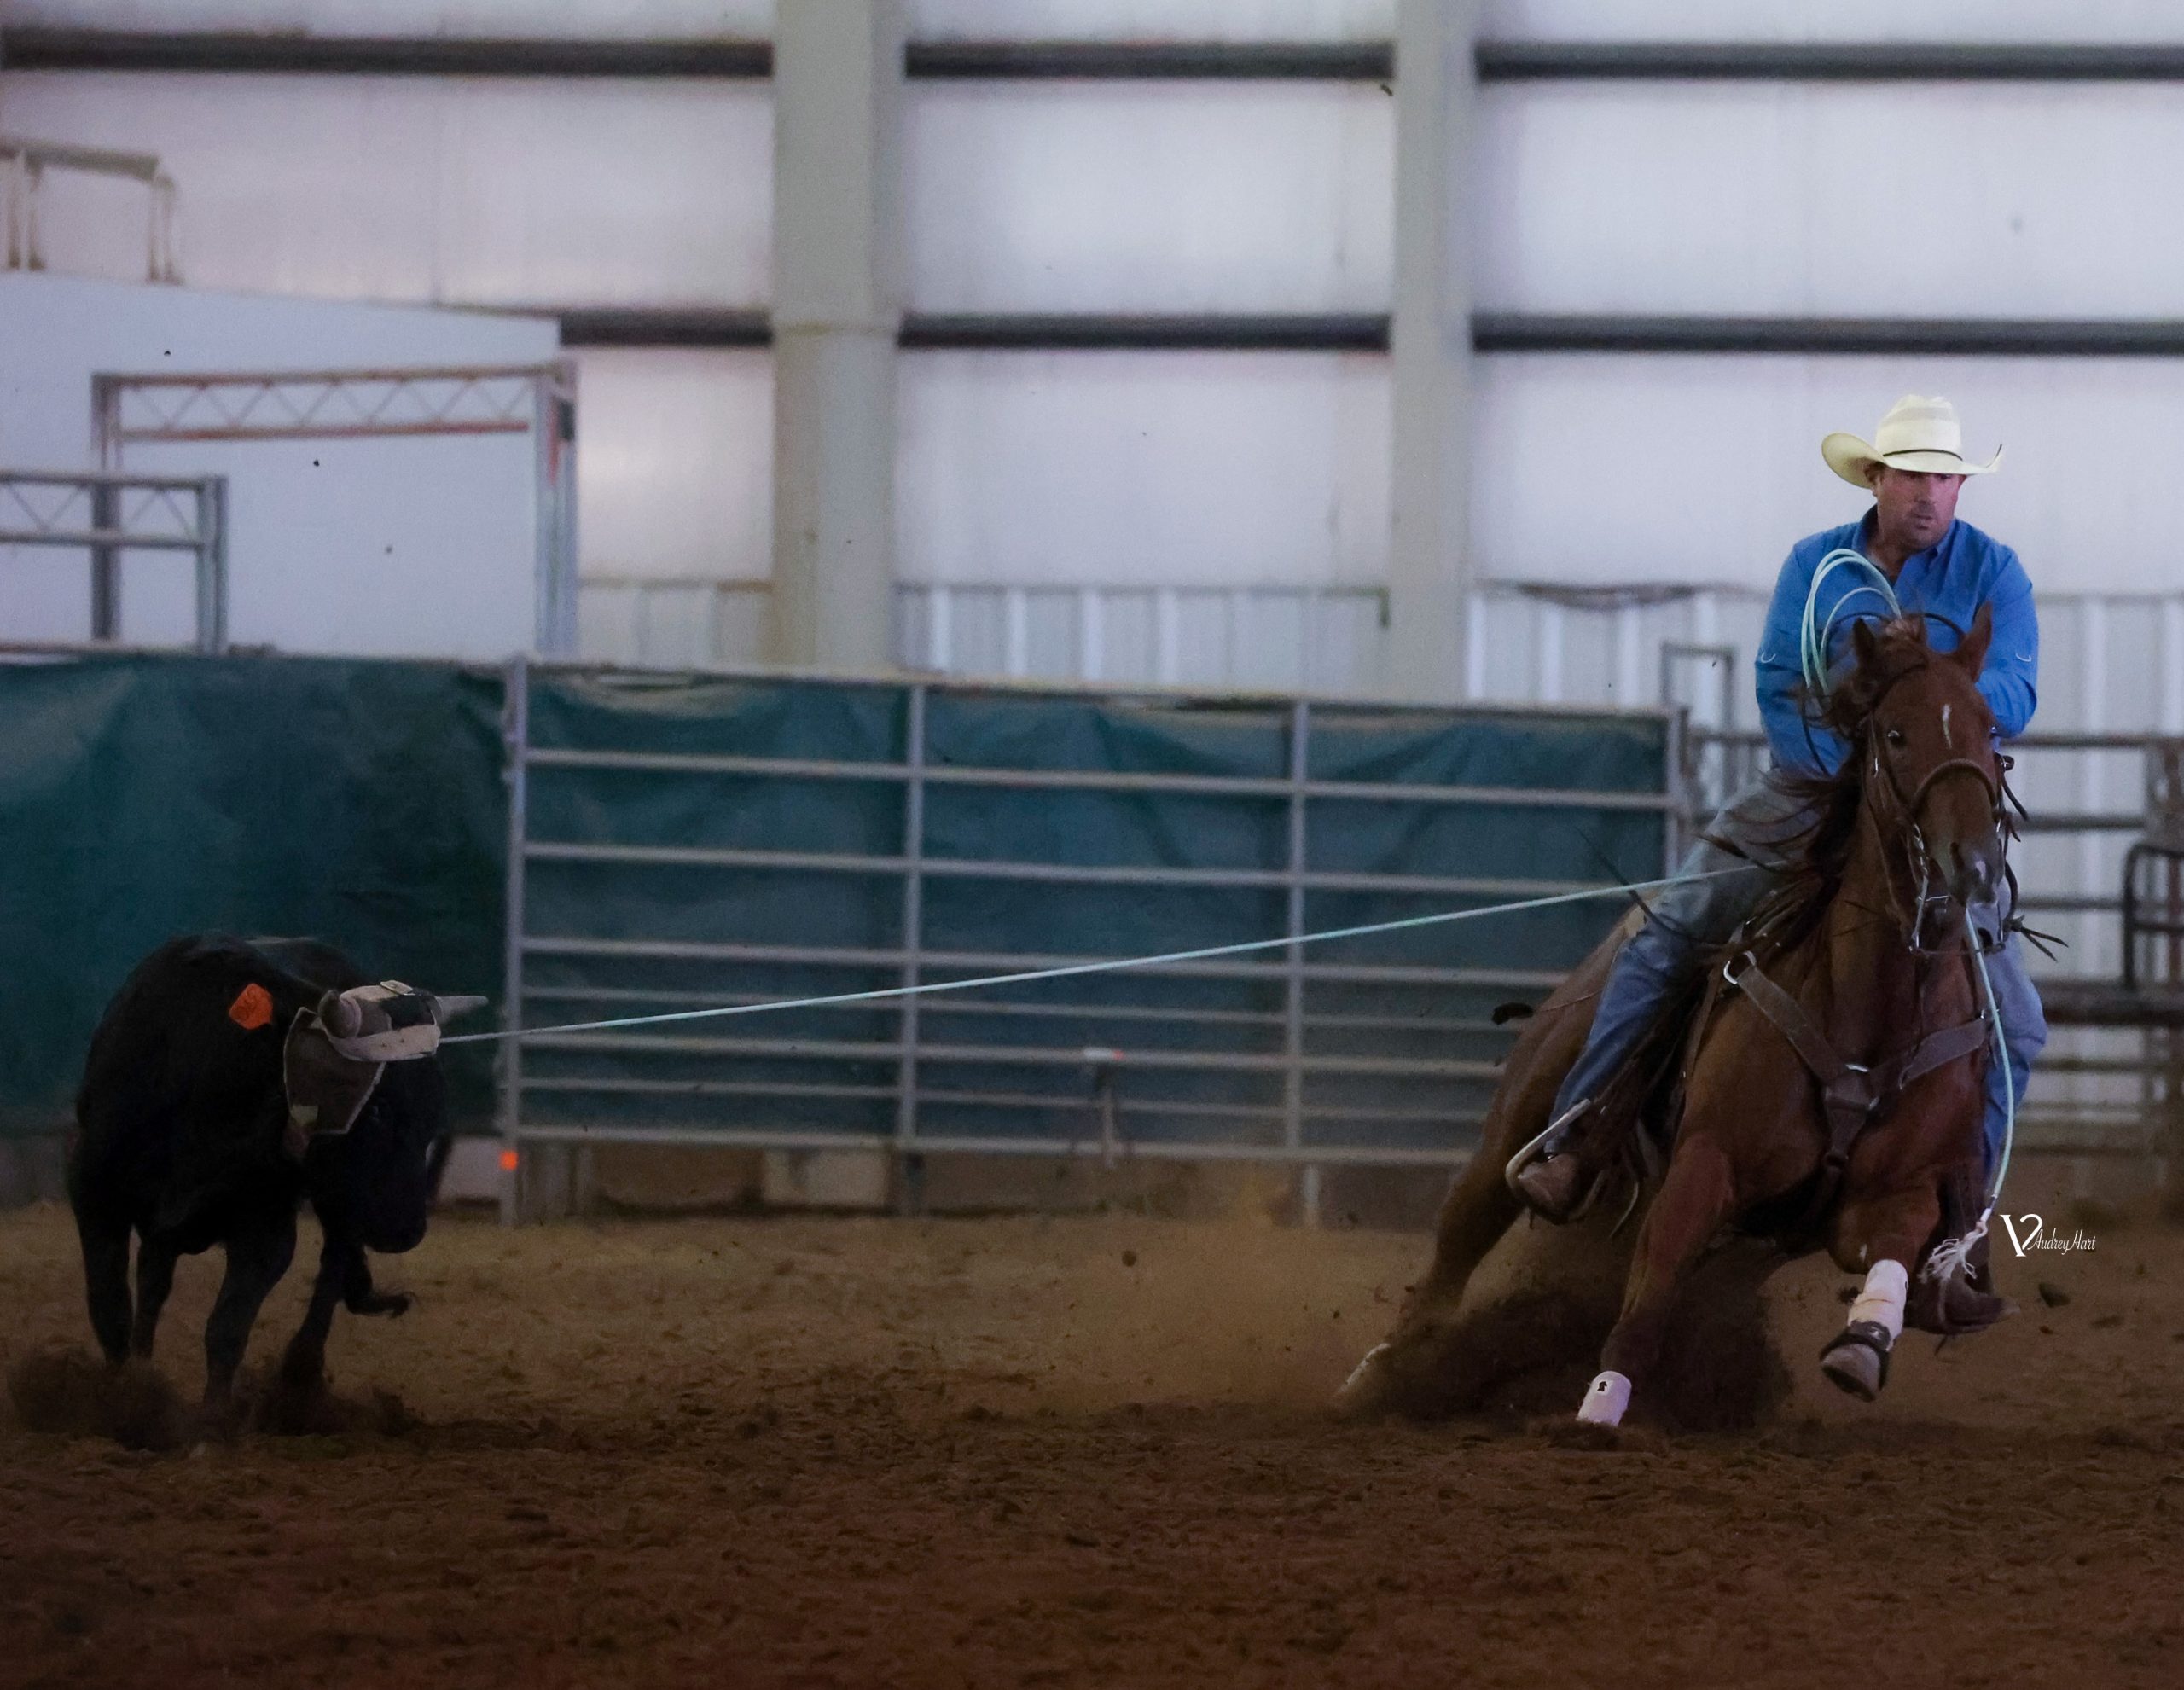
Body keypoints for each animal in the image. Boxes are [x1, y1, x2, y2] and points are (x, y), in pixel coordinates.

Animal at [1345, 607, 2009, 1432]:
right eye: (1895, 733)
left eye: (1988, 726)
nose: (1970, 862)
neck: (1869, 1010)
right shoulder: (1704, 1163)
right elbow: (1648, 1298)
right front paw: (1599, 1409)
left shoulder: (1895, 1194)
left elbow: (1889, 1250)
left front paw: (1863, 1345)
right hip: (1518, 1128)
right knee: (1459, 1241)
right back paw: (1380, 1376)